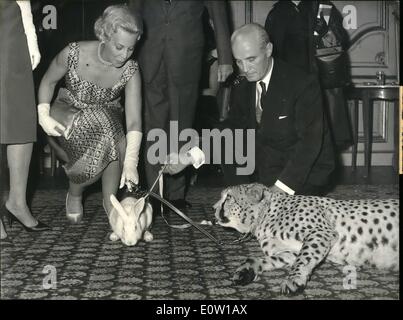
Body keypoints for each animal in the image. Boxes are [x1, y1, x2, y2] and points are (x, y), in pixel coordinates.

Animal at [213, 182, 400, 296]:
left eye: (228, 197)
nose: (214, 208)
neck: (265, 216)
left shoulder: (321, 232)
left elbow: (304, 257)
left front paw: (293, 279)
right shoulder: (288, 252)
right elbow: (266, 259)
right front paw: (247, 270)